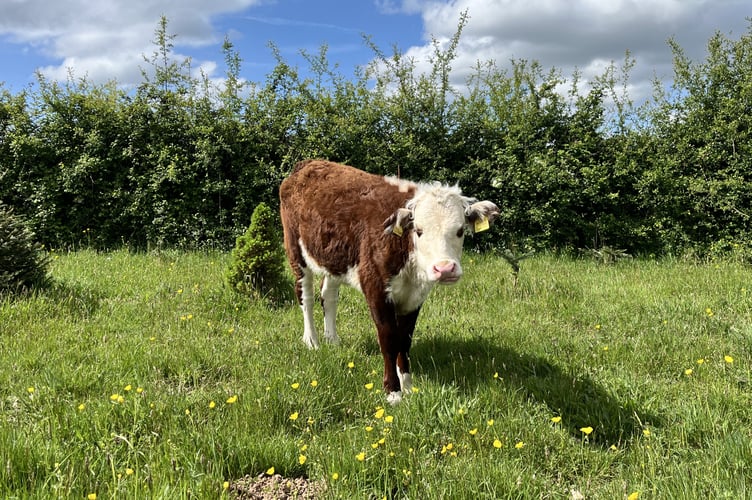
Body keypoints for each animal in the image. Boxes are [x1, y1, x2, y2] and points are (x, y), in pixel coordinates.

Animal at [279, 160, 499, 404]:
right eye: (419, 231)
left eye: (460, 230)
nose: (445, 268)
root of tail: (307, 164)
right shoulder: (376, 288)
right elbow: (388, 341)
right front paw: (393, 391)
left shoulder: (415, 297)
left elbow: (404, 341)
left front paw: (408, 385)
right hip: (295, 250)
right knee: (305, 296)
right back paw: (312, 342)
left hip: (334, 258)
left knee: (328, 296)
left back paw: (332, 340)